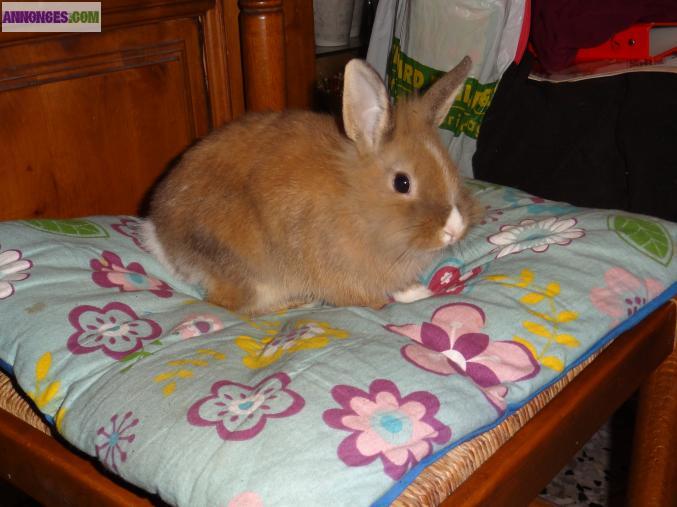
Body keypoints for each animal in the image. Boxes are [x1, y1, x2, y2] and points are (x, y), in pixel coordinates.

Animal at [142, 56, 483, 316]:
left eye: (451, 168)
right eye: (402, 182)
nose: (454, 228)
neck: (356, 203)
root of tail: (160, 236)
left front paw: (418, 292)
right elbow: (368, 298)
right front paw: (400, 301)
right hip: (247, 271)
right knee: (232, 306)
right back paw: (297, 303)